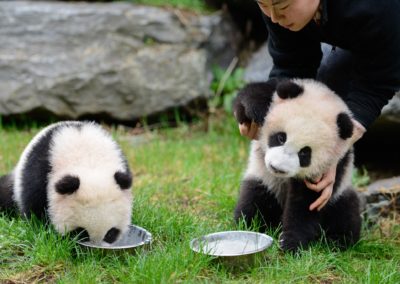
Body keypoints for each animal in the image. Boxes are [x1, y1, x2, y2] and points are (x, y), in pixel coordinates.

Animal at [0, 121, 134, 245]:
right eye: (81, 232)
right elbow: (34, 207)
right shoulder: (40, 172)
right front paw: (45, 232)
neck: (88, 161)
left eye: (110, 233)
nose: (96, 248)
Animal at [234, 78, 362, 253]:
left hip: (340, 195)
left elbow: (306, 204)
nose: (277, 168)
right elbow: (250, 95)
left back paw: (335, 242)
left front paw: (290, 242)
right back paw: (249, 223)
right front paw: (256, 110)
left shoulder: (334, 165)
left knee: (346, 213)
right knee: (254, 199)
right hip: (265, 180)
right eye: (281, 137)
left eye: (304, 153)